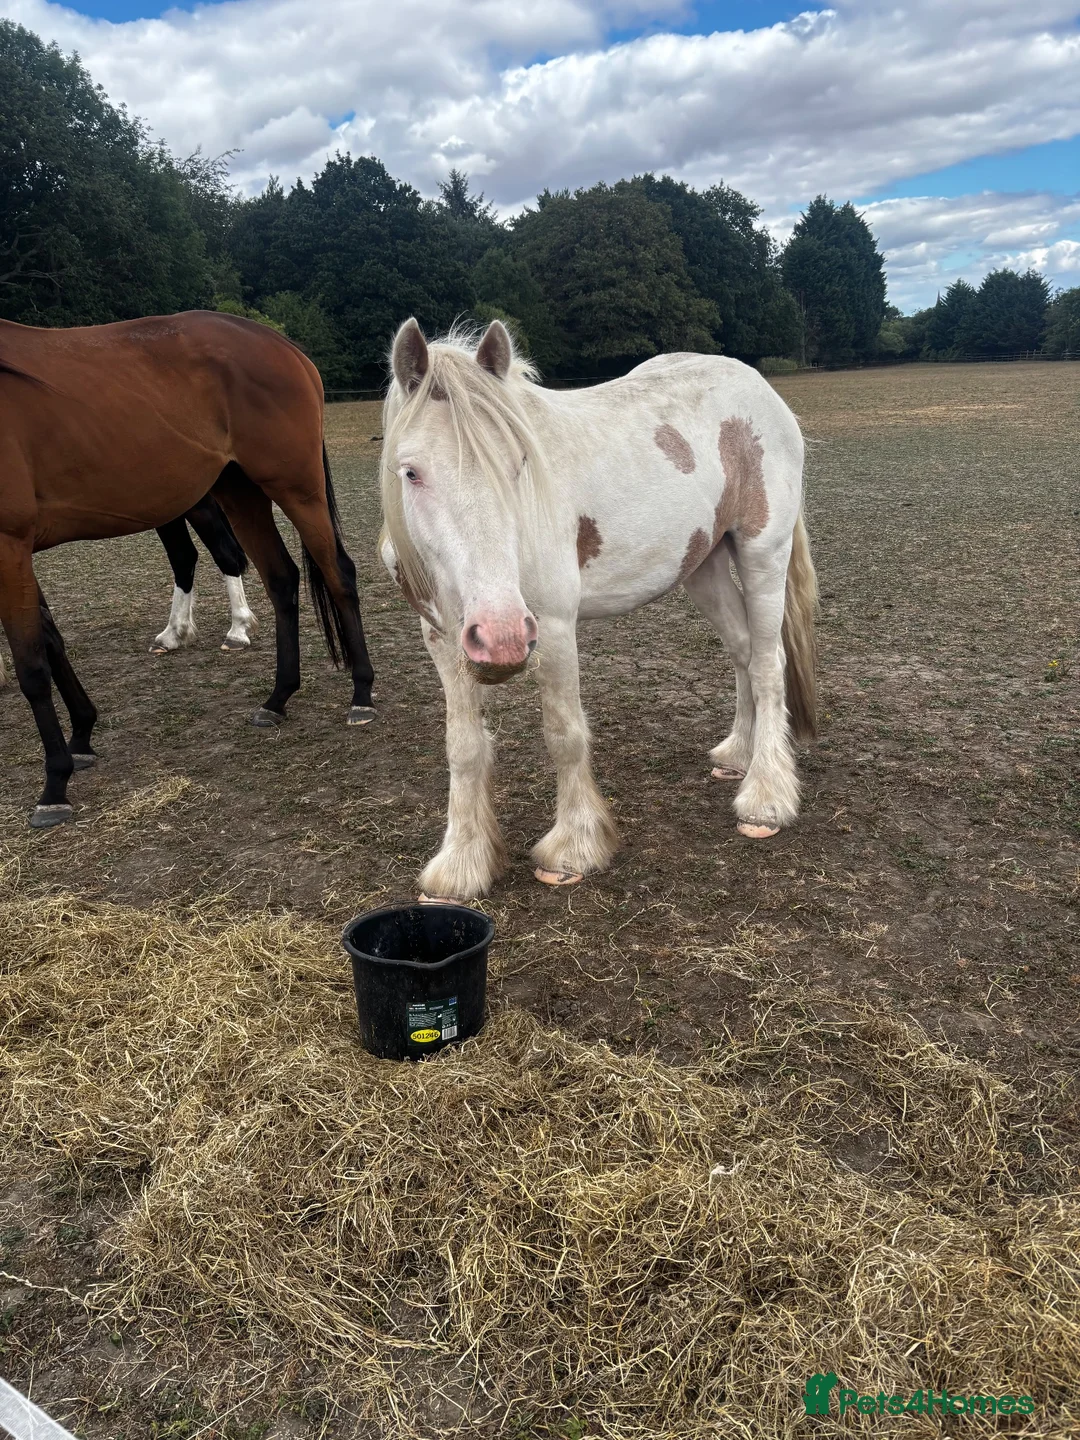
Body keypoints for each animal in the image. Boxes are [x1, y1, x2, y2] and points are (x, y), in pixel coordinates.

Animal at [0, 310, 376, 829]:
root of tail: (281, 345)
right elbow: (51, 642)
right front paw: (81, 736)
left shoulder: (9, 545)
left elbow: (32, 666)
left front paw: (54, 784)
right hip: (239, 491)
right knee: (281, 579)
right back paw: (277, 698)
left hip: (295, 487)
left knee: (338, 574)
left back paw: (362, 695)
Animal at [379, 318, 818, 902]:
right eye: (411, 472)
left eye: (519, 463)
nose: (501, 636)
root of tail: (761, 389)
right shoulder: (443, 638)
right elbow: (464, 746)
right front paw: (461, 863)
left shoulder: (552, 627)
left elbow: (564, 735)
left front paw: (574, 847)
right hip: (702, 566)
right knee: (744, 652)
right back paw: (737, 755)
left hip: (762, 551)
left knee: (769, 665)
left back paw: (766, 796)